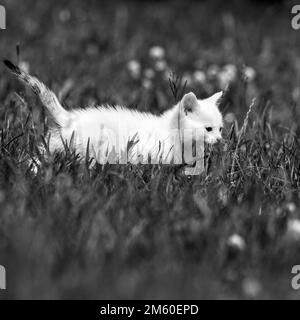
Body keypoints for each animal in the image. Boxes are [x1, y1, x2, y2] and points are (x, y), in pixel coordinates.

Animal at [3, 60, 221, 170]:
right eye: (208, 129)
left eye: (220, 129)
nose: (220, 139)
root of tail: (68, 118)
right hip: (87, 149)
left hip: (55, 145)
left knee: (37, 157)